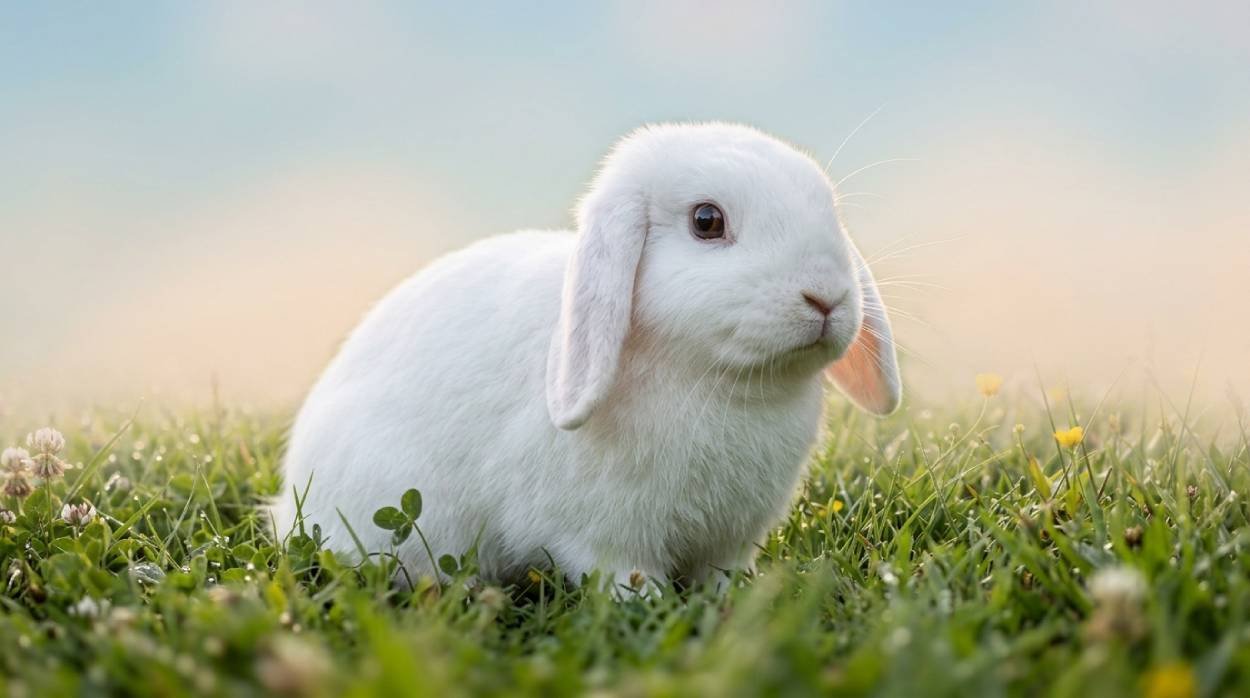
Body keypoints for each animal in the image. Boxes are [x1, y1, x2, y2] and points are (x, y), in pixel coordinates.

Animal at [273, 123, 901, 592]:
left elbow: (721, 577)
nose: (826, 296)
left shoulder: (729, 541)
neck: (722, 382)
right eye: (707, 221)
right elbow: (626, 579)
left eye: (829, 212)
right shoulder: (604, 538)